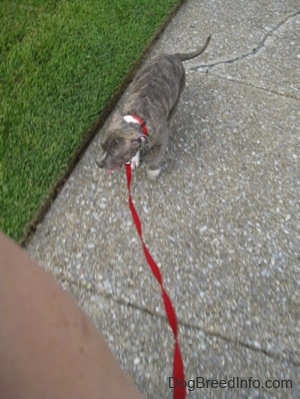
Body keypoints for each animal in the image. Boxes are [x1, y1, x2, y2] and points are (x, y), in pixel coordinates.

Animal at [96, 34, 211, 178]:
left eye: (114, 154)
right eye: (102, 146)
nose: (98, 163)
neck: (137, 117)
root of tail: (173, 56)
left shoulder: (160, 138)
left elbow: (157, 157)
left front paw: (153, 171)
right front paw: (134, 159)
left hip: (177, 98)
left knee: (170, 117)